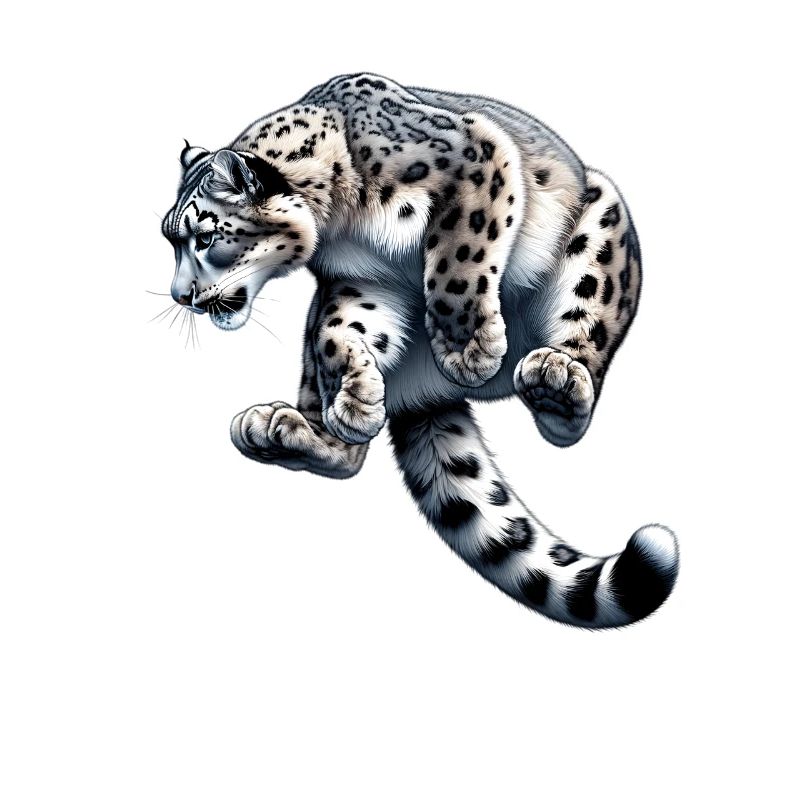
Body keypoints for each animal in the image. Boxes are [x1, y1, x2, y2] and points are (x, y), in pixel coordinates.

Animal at [161, 73, 679, 628]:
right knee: (340, 443)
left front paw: (469, 351)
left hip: (599, 226)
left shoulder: (474, 162)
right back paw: (286, 428)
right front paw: (357, 401)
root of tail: (425, 392)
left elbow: (456, 259)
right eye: (171, 239)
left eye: (205, 236)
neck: (343, 226)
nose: (180, 296)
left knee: (582, 352)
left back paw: (554, 382)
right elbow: (334, 334)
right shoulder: (361, 282)